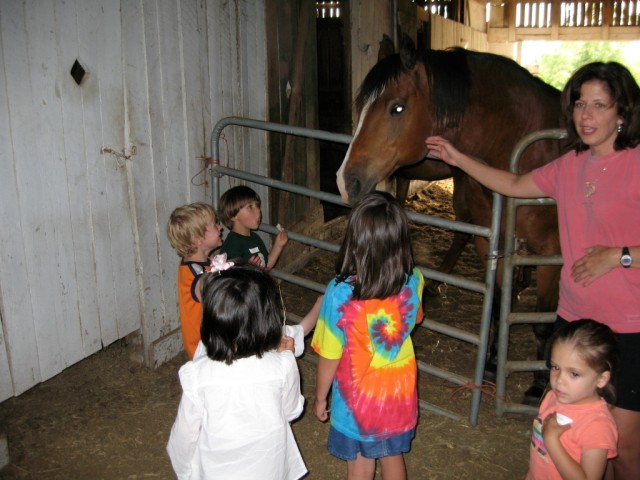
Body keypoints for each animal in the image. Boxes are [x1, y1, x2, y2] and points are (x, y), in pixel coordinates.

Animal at [338, 36, 564, 402]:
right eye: (360, 106)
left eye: (397, 107)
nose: (346, 181)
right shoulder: (492, 241)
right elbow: (496, 303)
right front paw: (492, 362)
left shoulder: (551, 250)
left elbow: (544, 320)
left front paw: (540, 383)